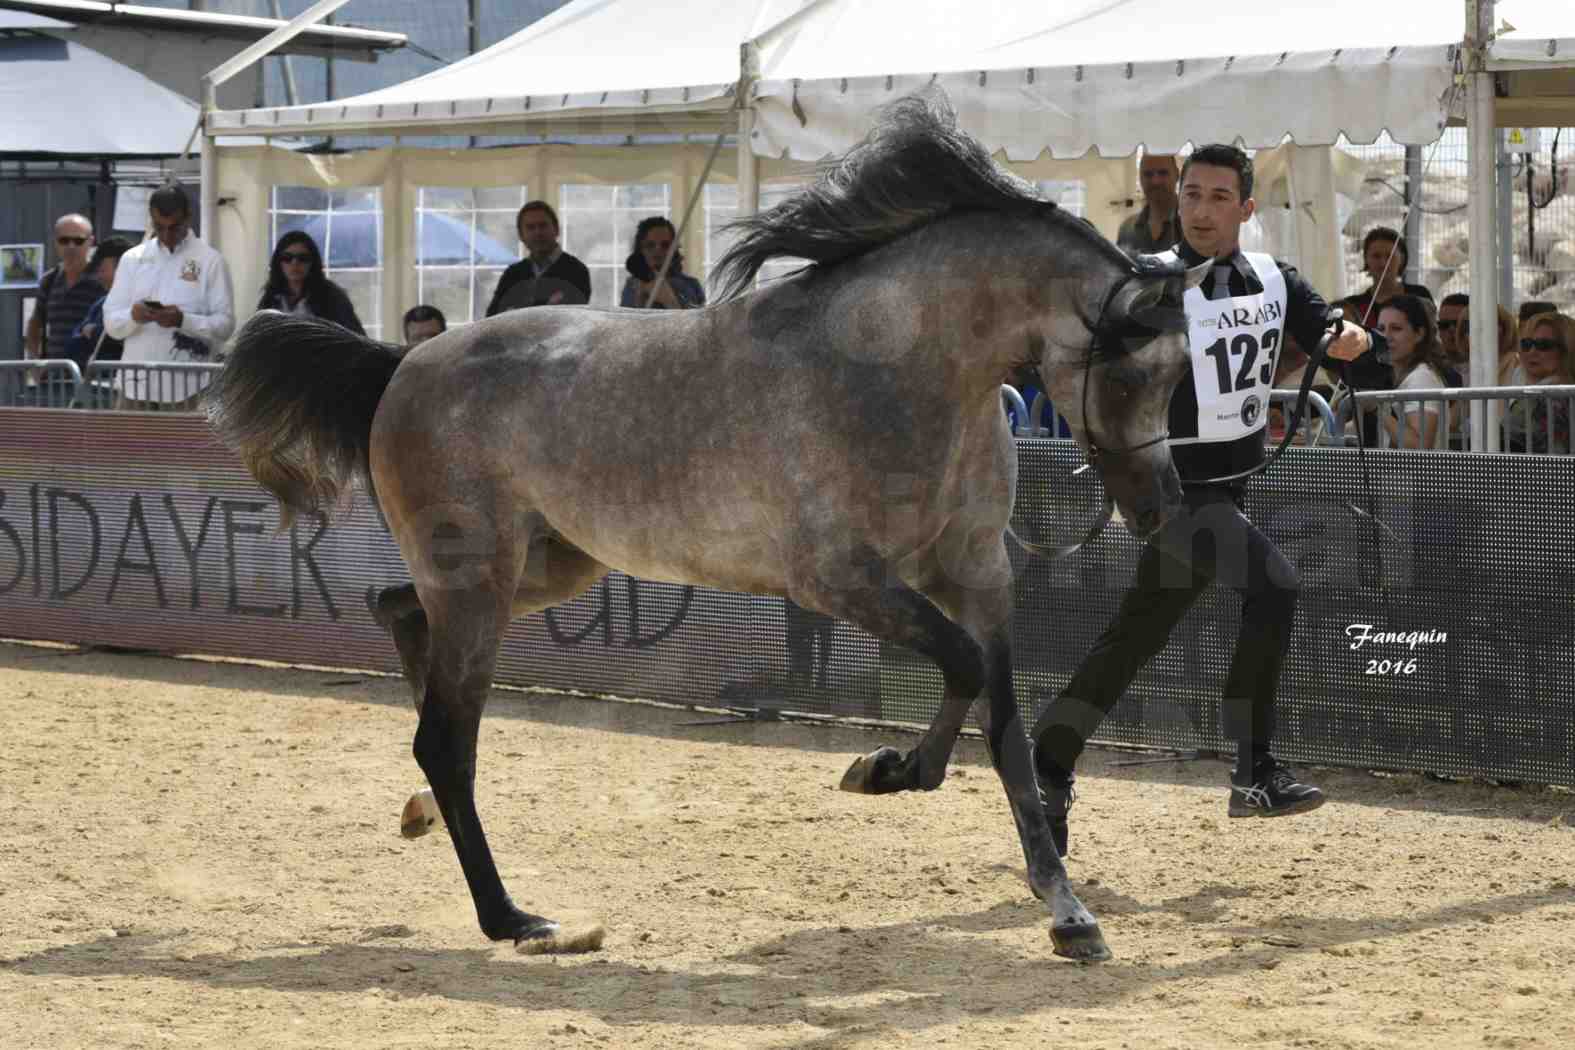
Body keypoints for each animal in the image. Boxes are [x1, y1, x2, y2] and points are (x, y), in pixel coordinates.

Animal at [203, 90, 1197, 963]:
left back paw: (424, 813)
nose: (1159, 509)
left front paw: (1067, 915)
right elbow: (958, 672)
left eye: (1180, 373)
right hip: (481, 581)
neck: (901, 368)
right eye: (1127, 373)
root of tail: (399, 364)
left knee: (398, 616)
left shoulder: (979, 576)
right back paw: (512, 918)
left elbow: (1007, 733)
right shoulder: (839, 579)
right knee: (446, 739)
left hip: (541, 569)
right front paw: (884, 770)